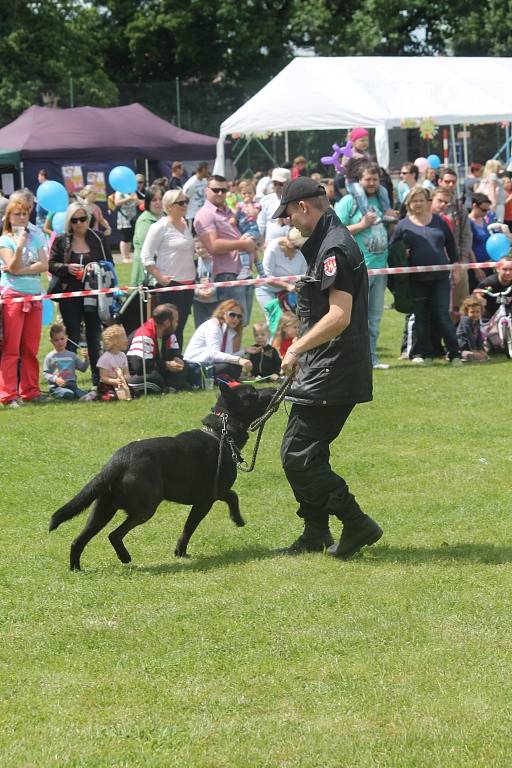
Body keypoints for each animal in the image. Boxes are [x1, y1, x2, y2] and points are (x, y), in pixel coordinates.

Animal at [49, 384, 276, 568]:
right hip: (145, 508)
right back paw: (125, 557)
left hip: (101, 510)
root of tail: (119, 460)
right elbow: (201, 519)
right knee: (114, 534)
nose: (274, 390)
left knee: (78, 540)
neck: (220, 433)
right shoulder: (209, 497)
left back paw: (76, 569)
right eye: (252, 393)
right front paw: (237, 520)